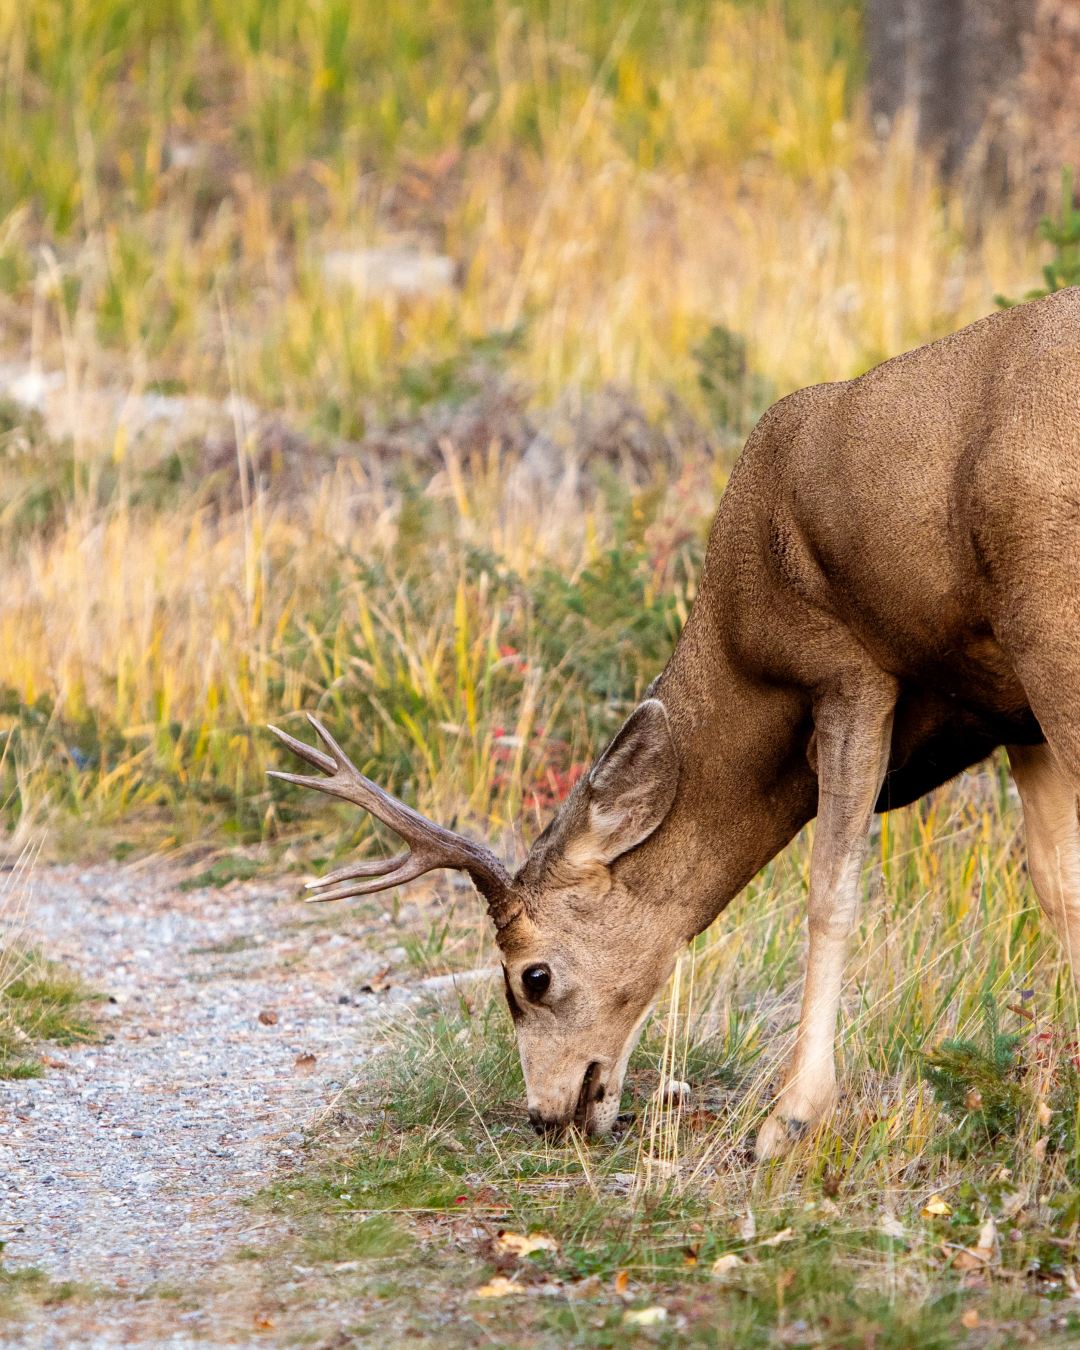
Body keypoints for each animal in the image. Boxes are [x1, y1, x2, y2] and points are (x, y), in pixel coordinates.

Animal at [270, 286, 1080, 1158]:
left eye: (533, 976)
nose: (547, 1114)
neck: (739, 648)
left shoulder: (847, 668)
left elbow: (831, 891)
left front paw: (790, 1117)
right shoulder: (1009, 710)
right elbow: (1057, 881)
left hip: (1049, 621)